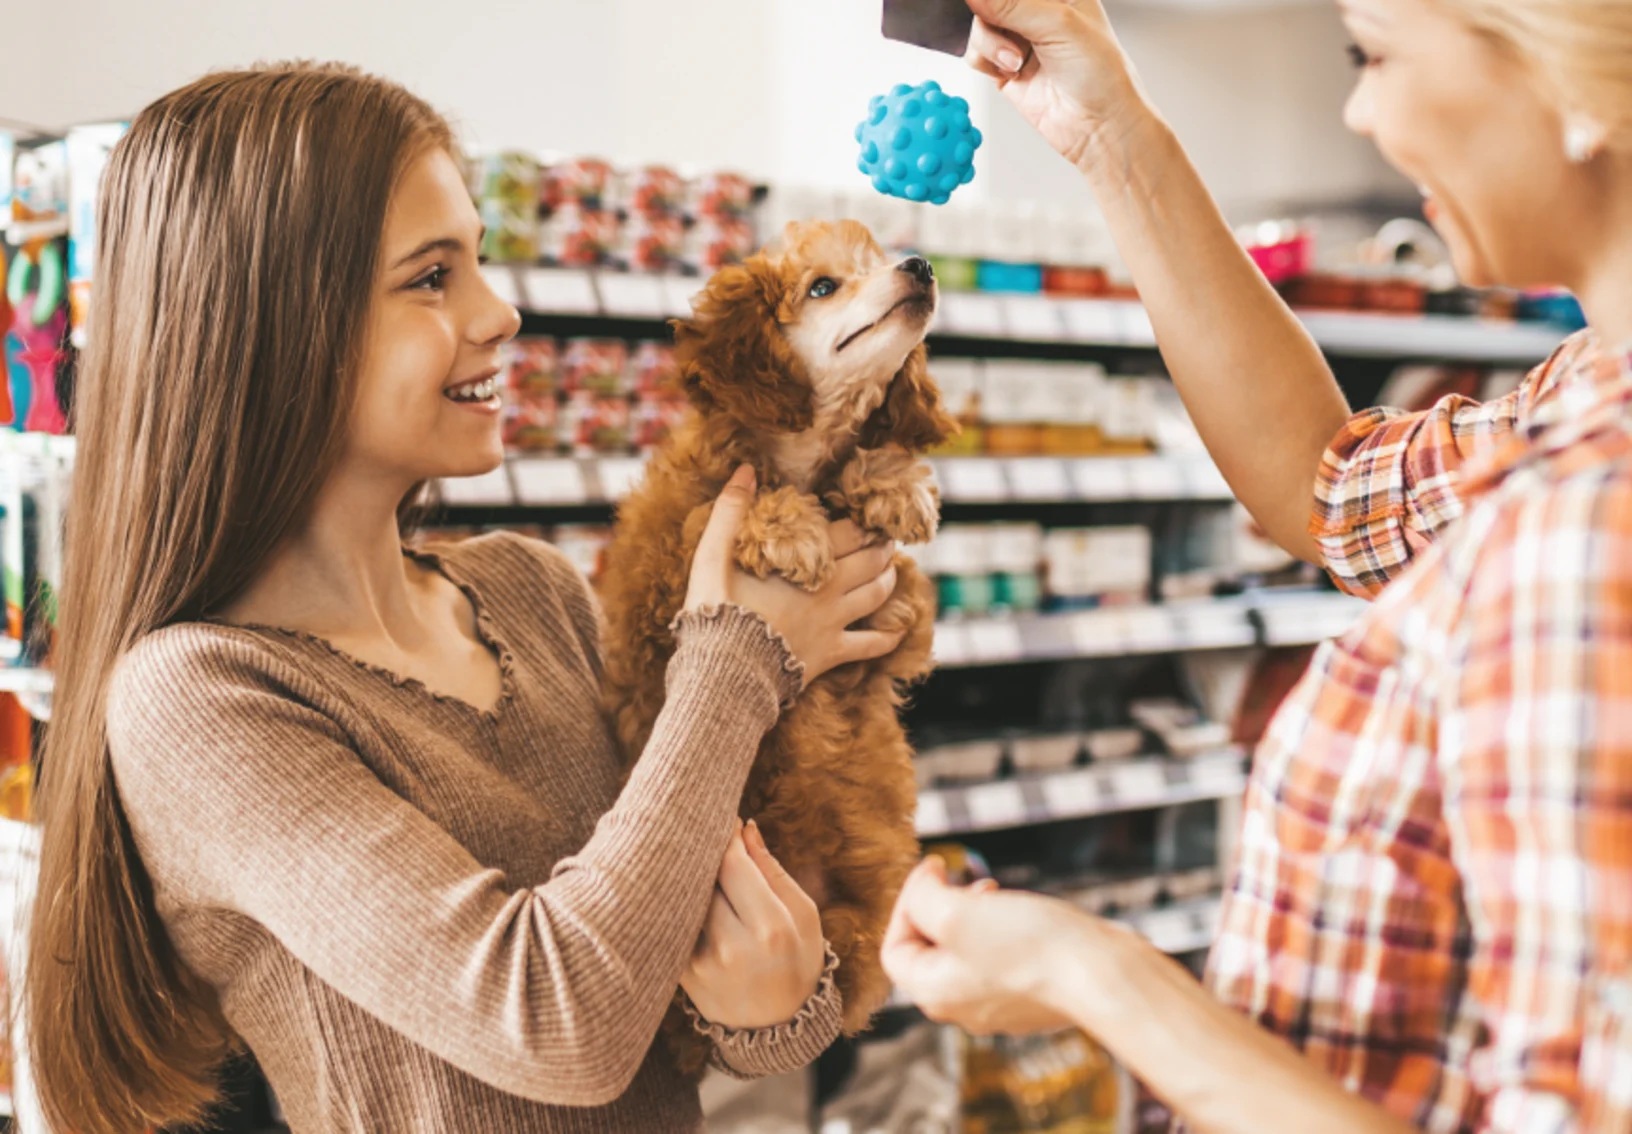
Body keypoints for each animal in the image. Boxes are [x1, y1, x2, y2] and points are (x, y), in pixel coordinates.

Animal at [600, 220, 953, 1070]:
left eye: (884, 258)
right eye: (823, 287)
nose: (921, 265)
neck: (802, 458)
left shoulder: (900, 628)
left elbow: (904, 574)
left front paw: (890, 481)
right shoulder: (667, 578)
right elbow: (715, 518)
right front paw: (786, 525)